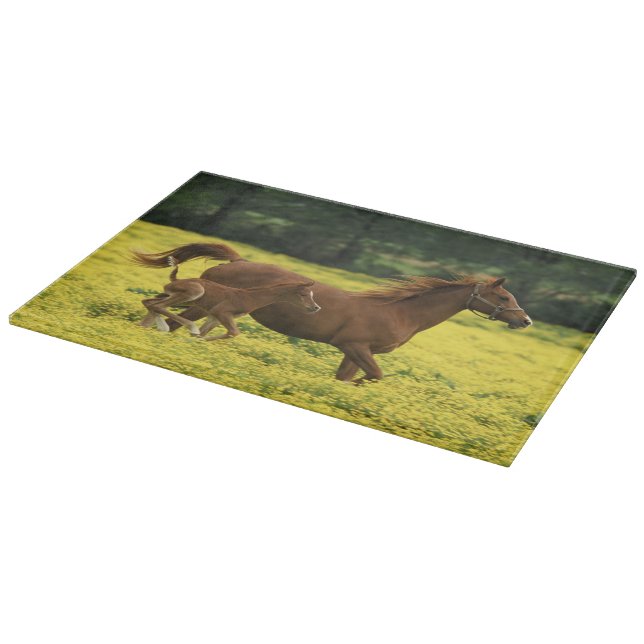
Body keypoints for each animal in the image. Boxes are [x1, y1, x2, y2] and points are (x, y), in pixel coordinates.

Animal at [137, 257, 320, 340]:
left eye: (312, 295)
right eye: (304, 294)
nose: (316, 308)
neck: (249, 297)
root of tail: (176, 279)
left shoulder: (214, 317)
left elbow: (207, 333)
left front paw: (195, 340)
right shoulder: (222, 312)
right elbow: (234, 333)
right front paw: (194, 336)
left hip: (178, 296)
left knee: (150, 302)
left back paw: (143, 327)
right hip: (195, 292)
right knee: (158, 305)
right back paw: (174, 327)